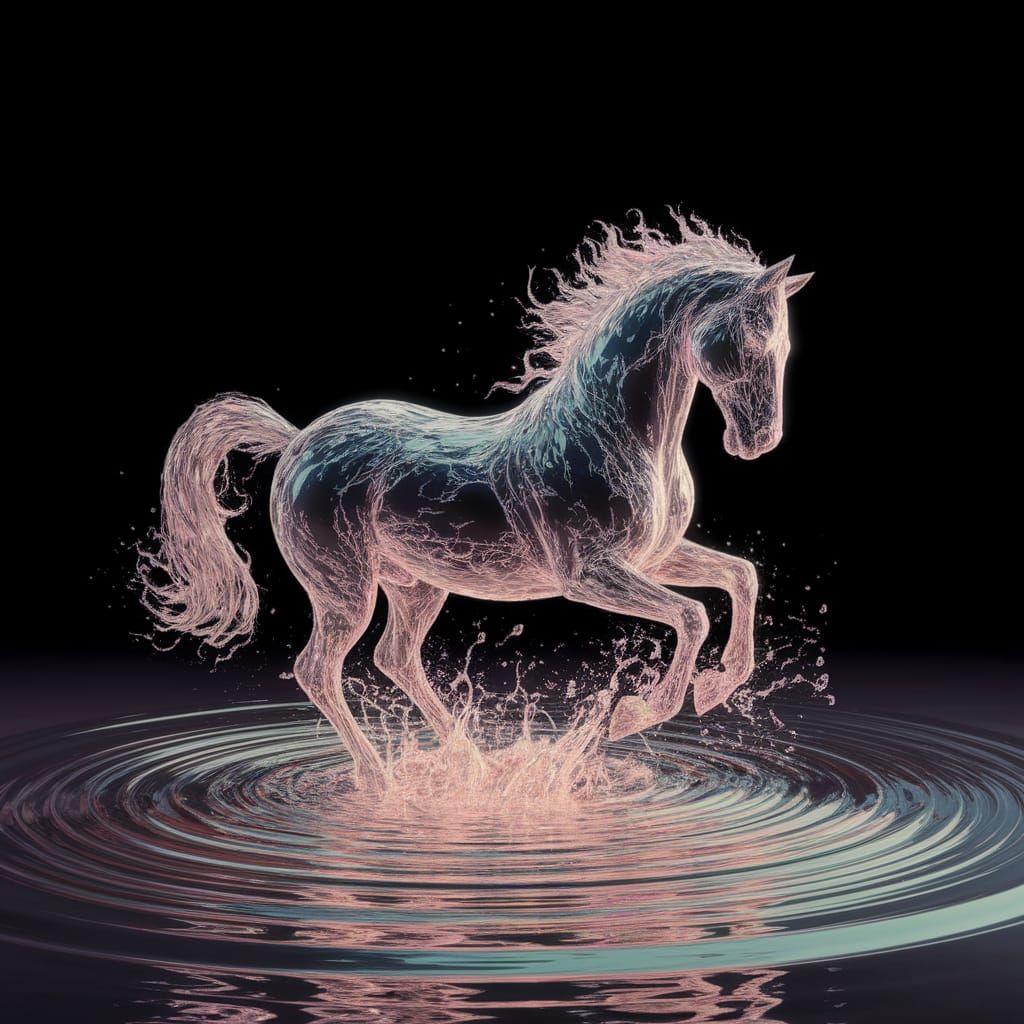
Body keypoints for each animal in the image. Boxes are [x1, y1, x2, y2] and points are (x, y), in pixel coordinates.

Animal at [140, 210, 812, 789]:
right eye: (754, 339)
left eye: (784, 347)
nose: (758, 442)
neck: (609, 432)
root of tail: (298, 440)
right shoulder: (589, 574)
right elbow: (692, 615)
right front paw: (637, 713)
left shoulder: (654, 556)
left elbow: (741, 577)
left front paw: (719, 685)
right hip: (344, 589)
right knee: (318, 670)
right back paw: (383, 781)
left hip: (417, 585)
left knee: (394, 657)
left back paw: (476, 765)